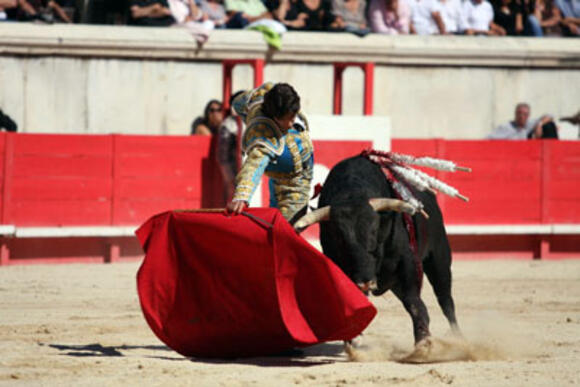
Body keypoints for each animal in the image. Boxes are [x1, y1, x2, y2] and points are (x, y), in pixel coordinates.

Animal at [296, 156, 460, 344]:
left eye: (374, 231)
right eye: (339, 238)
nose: (365, 283)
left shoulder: (408, 263)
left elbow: (414, 303)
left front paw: (423, 342)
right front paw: (353, 341)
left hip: (439, 259)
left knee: (446, 301)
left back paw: (459, 338)